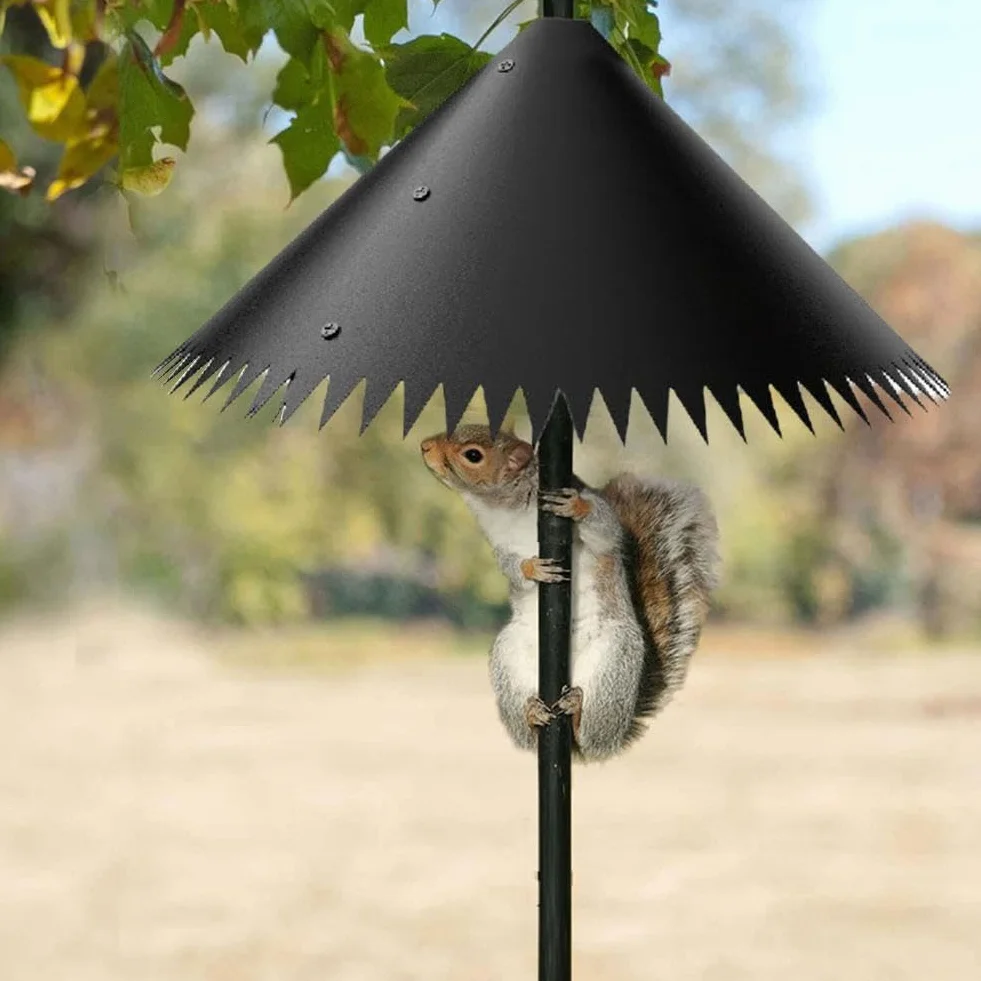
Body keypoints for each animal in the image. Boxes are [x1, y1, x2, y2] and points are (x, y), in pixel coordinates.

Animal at [420, 422, 721, 763]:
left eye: (473, 455)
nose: (425, 446)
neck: (505, 506)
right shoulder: (500, 546)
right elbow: (511, 567)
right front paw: (532, 570)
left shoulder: (600, 522)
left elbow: (605, 531)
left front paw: (575, 507)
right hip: (509, 656)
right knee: (528, 736)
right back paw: (532, 715)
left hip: (614, 662)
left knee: (591, 735)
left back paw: (577, 713)